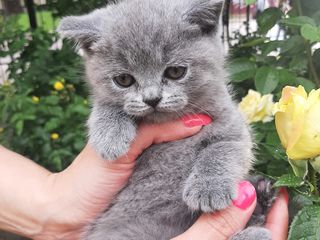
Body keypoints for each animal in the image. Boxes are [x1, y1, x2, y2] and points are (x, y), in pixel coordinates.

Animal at [58, 0, 272, 239]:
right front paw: (110, 136)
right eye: (123, 79)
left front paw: (209, 188)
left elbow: (222, 148)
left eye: (176, 71)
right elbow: (106, 103)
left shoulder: (231, 123)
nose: (152, 98)